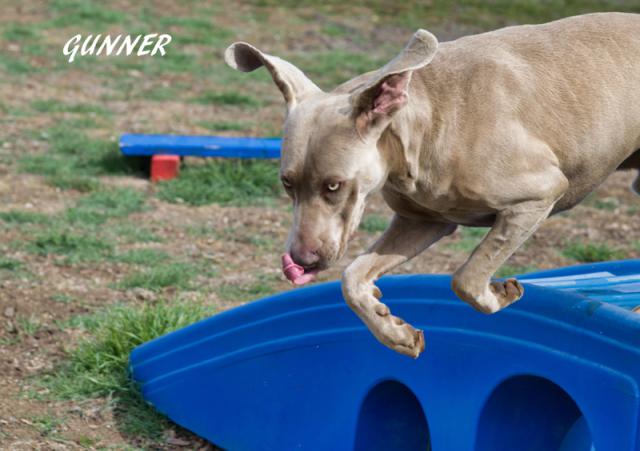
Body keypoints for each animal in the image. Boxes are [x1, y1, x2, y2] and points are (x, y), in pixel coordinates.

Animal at [225, 13, 640, 360]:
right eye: (287, 183)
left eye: (333, 185)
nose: (300, 261)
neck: (428, 125)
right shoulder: (422, 220)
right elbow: (351, 277)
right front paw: (394, 330)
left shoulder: (539, 193)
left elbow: (467, 277)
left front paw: (500, 293)